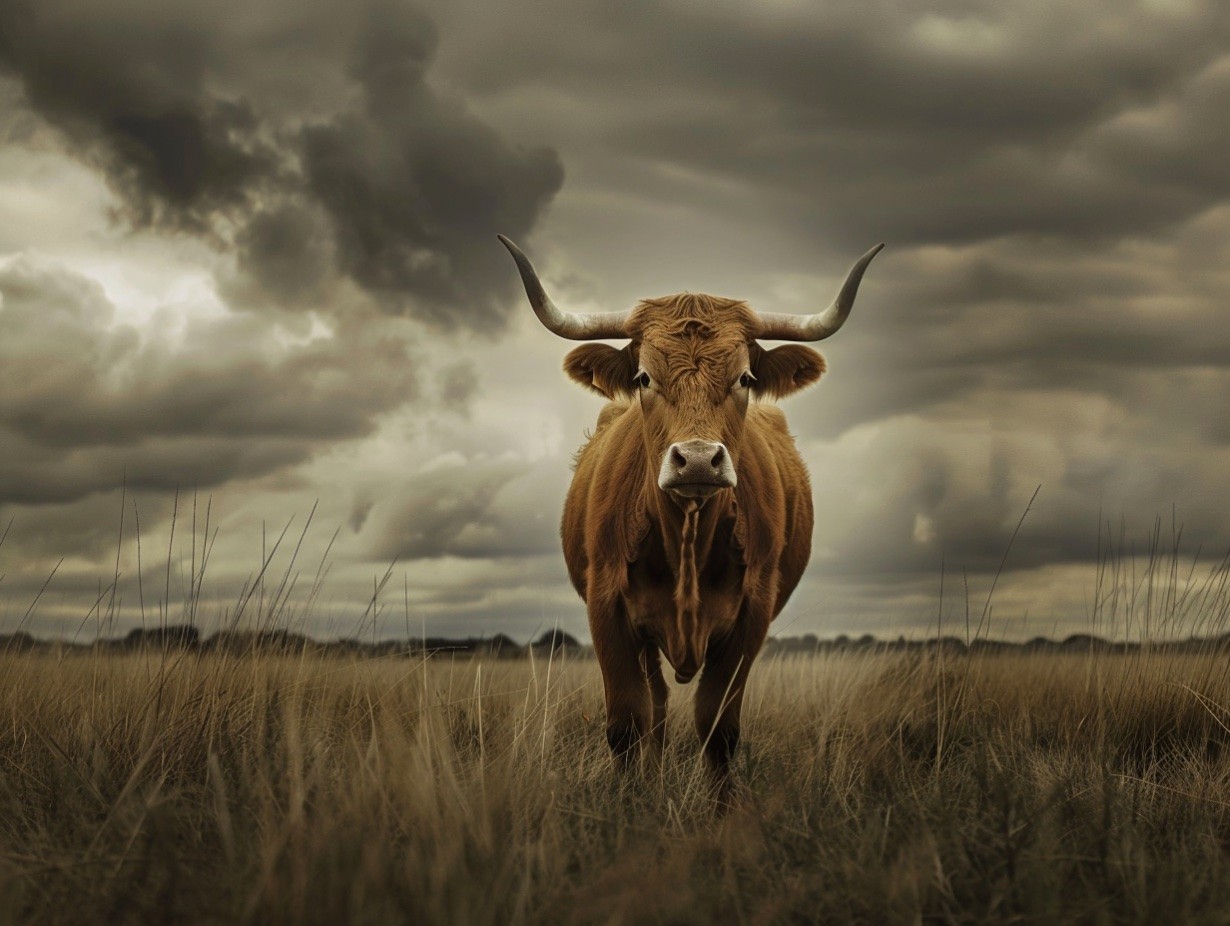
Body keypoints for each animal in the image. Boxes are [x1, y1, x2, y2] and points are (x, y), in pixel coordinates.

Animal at [499, 234, 882, 783]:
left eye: (745, 378)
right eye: (643, 377)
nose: (697, 459)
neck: (686, 536)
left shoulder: (751, 617)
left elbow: (719, 729)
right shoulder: (607, 610)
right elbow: (627, 724)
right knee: (655, 707)